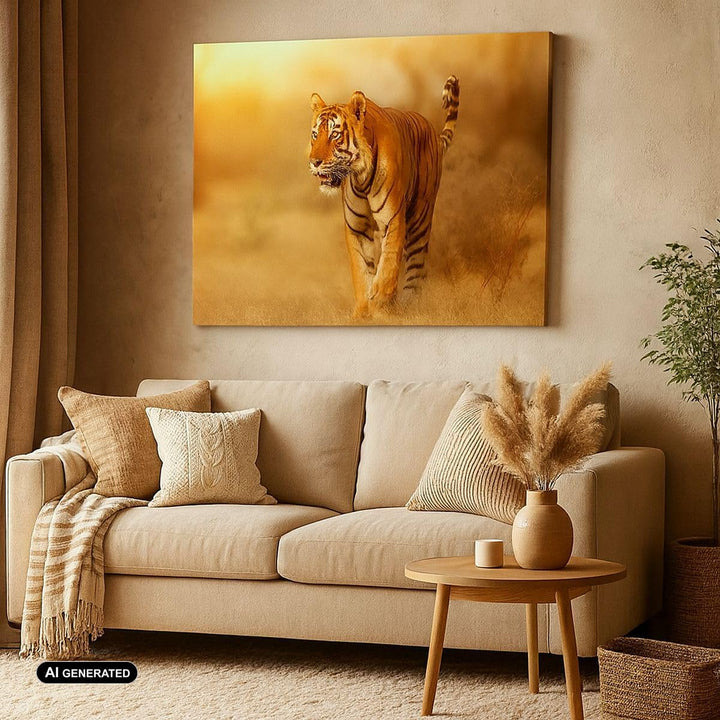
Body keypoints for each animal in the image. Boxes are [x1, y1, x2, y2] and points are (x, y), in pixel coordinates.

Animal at [308, 76, 460, 318]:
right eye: (315, 135)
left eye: (335, 134)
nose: (314, 162)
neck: (360, 177)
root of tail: (433, 133)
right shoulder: (356, 227)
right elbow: (361, 271)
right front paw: (363, 311)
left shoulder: (393, 218)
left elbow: (388, 262)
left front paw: (380, 299)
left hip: (420, 219)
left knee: (416, 267)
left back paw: (408, 305)